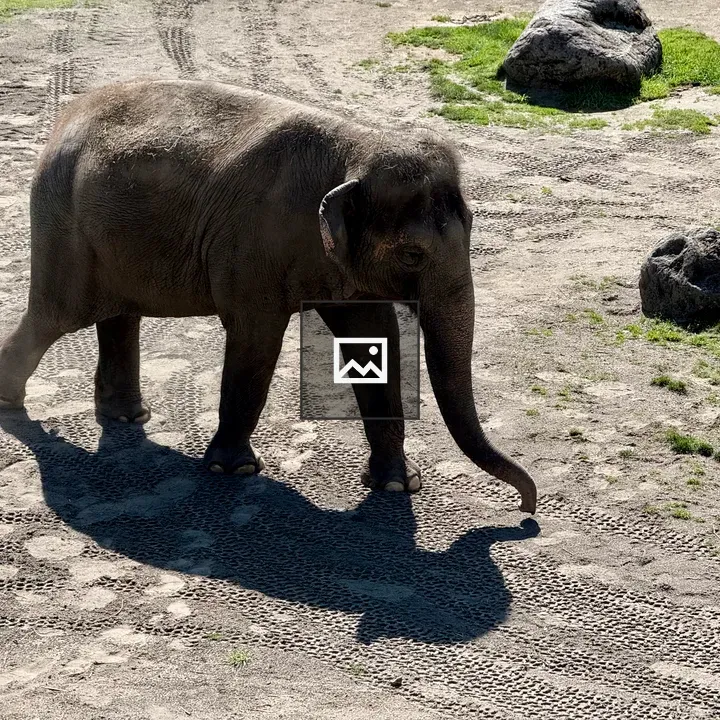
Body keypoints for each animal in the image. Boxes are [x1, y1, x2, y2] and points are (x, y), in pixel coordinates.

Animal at [0, 79, 537, 513]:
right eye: (412, 255)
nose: (526, 510)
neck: (357, 145)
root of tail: (64, 119)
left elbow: (374, 339)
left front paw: (397, 487)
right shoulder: (252, 247)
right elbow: (256, 338)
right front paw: (233, 471)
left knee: (118, 314)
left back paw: (128, 416)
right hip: (62, 223)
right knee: (56, 315)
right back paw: (10, 403)